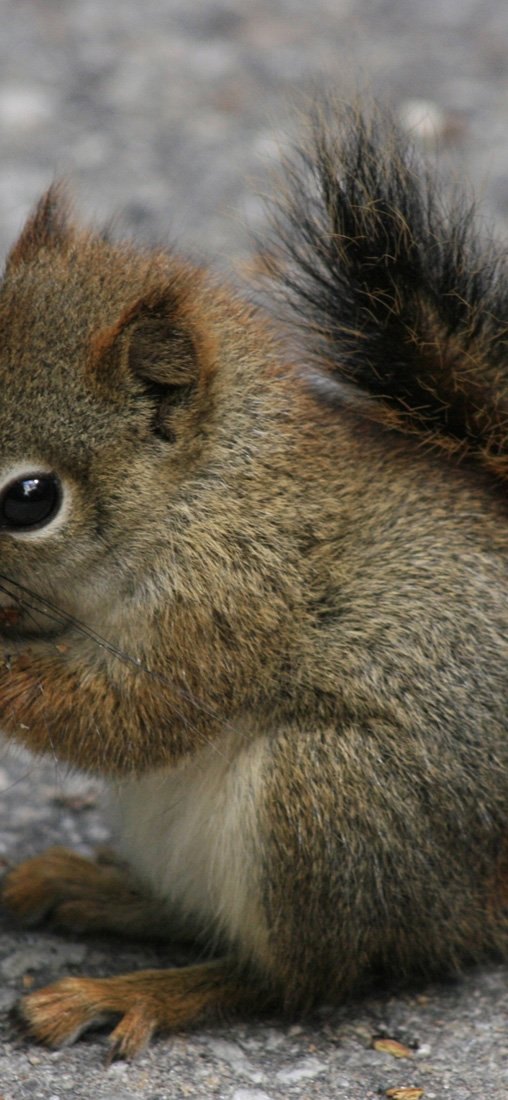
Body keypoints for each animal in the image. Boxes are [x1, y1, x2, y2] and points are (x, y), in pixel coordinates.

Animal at [0, 105, 507, 1061]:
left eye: (30, 498)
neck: (204, 492)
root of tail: (479, 905)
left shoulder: (233, 599)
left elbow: (132, 717)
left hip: (333, 801)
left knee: (298, 981)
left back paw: (136, 992)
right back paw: (92, 890)